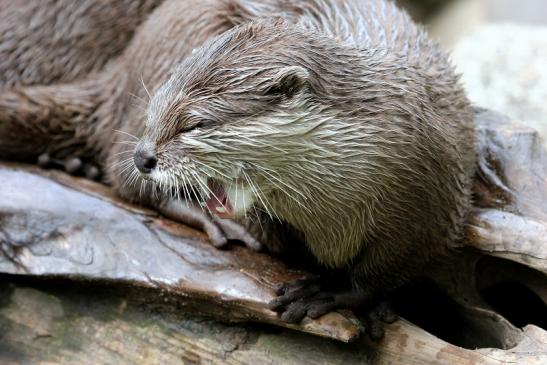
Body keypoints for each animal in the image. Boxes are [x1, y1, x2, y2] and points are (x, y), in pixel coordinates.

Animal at [0, 0, 476, 338]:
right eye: (159, 103)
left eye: (195, 124)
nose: (145, 156)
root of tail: (119, 74)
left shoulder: (431, 203)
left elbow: (386, 272)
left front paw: (337, 292)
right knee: (120, 173)